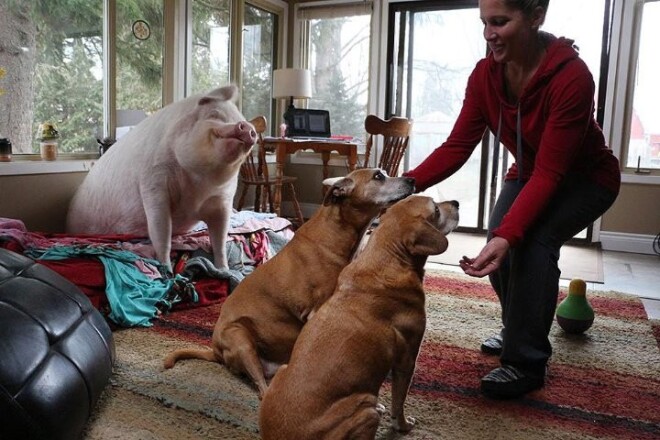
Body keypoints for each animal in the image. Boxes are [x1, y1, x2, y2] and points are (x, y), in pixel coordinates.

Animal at [65, 83, 254, 272]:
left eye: (238, 118)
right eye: (214, 115)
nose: (247, 126)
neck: (198, 186)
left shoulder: (223, 200)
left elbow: (220, 240)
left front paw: (224, 270)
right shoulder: (153, 183)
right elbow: (161, 232)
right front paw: (167, 270)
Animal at [164, 169, 412, 398]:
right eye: (378, 176)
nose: (411, 179)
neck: (337, 235)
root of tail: (216, 351)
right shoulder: (316, 311)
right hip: (240, 338)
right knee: (261, 388)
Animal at [258, 196, 458, 440]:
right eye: (436, 210)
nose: (457, 202)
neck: (386, 257)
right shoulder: (407, 359)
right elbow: (399, 402)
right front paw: (402, 426)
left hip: (283, 370)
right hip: (365, 410)